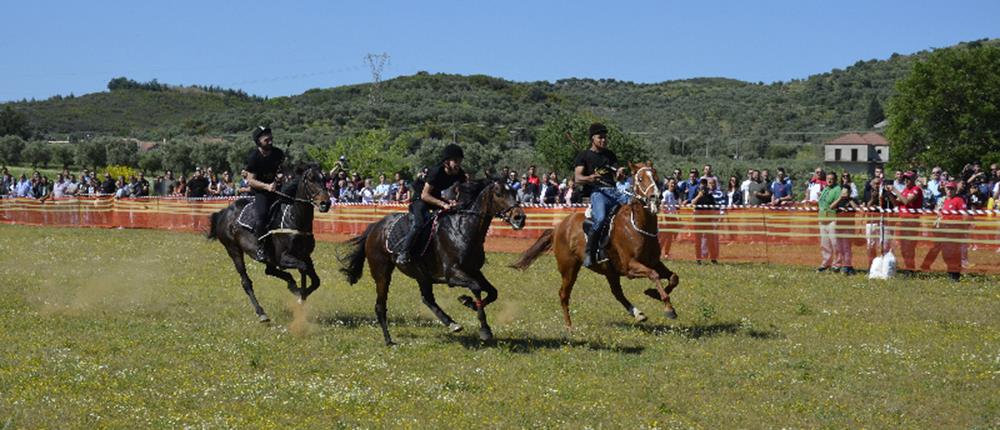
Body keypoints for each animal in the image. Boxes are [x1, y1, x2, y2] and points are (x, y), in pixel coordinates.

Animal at [207, 166, 332, 320]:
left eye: (324, 179)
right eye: (310, 180)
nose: (326, 203)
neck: (294, 218)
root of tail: (224, 212)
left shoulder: (306, 256)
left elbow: (316, 281)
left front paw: (299, 295)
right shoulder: (284, 258)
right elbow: (303, 269)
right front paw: (300, 298)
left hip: (268, 258)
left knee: (270, 271)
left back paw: (291, 285)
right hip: (234, 250)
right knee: (246, 282)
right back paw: (261, 313)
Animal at [340, 178, 528, 346]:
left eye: (514, 193)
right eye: (499, 194)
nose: (520, 218)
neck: (463, 229)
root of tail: (375, 226)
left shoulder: (474, 271)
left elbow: (492, 292)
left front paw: (468, 302)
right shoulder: (452, 274)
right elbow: (476, 287)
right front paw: (484, 329)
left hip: (421, 274)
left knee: (427, 299)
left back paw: (452, 323)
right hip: (382, 272)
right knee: (380, 306)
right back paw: (389, 340)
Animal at [508, 160, 680, 326]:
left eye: (656, 177)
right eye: (640, 179)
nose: (655, 197)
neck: (637, 225)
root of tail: (558, 228)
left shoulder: (654, 262)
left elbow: (673, 277)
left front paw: (653, 293)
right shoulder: (630, 266)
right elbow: (654, 274)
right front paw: (668, 308)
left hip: (608, 271)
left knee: (617, 293)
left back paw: (637, 313)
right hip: (569, 268)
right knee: (564, 294)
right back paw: (569, 327)